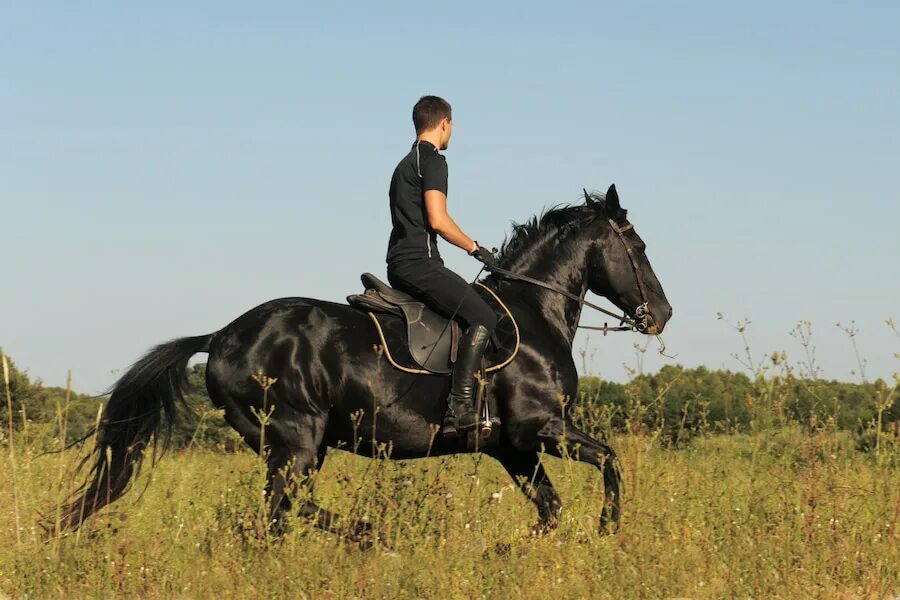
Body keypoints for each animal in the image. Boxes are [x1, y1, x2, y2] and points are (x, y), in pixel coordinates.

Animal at [59, 185, 672, 536]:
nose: (662, 315)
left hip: (294, 446)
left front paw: (513, 550)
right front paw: (608, 530)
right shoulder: (538, 428)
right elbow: (612, 461)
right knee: (281, 509)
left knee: (279, 513)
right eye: (639, 247)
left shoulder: (512, 447)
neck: (532, 310)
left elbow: (551, 511)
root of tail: (222, 336)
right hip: (295, 440)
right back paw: (370, 532)